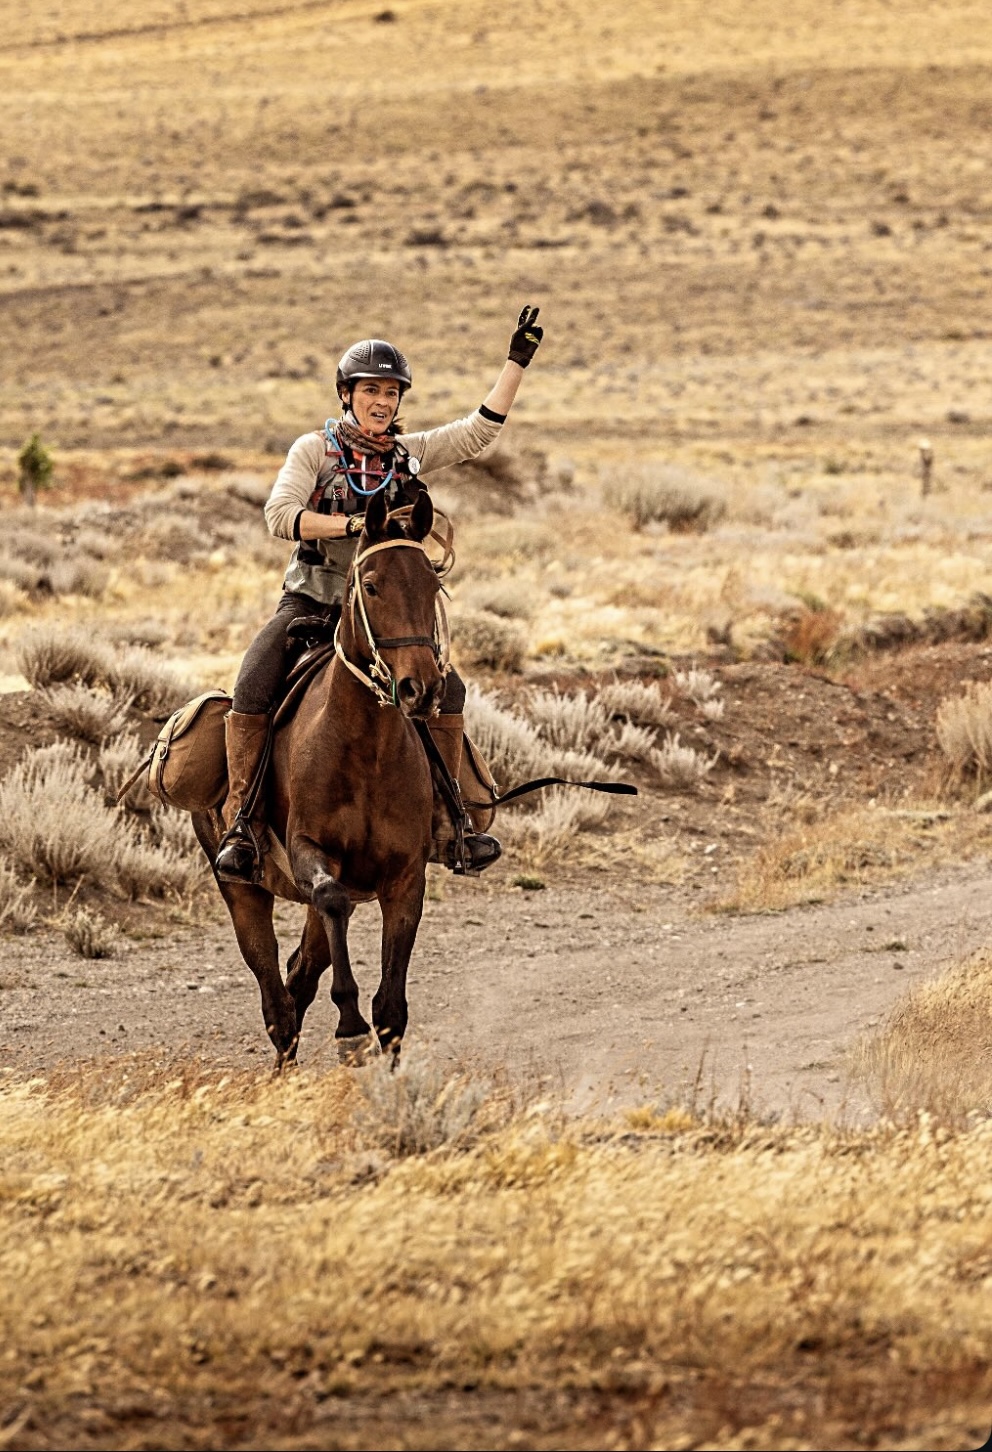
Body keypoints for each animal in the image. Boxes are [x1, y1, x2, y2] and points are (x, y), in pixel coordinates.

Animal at [191, 487, 446, 1068]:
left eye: (433, 583)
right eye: (371, 585)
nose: (420, 689)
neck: (366, 749)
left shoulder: (406, 877)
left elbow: (391, 1007)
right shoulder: (312, 853)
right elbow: (332, 905)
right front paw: (349, 1027)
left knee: (300, 973)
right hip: (240, 888)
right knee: (274, 992)